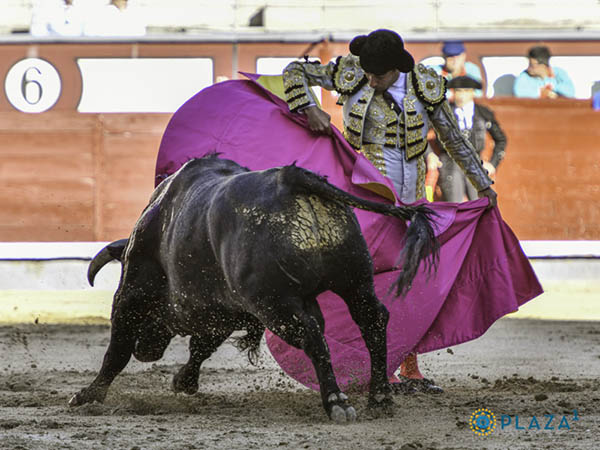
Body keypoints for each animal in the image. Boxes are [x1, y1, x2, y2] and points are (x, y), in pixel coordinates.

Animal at [70, 155, 438, 422]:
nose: (146, 351)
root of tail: (292, 178)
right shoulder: (226, 310)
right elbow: (202, 347)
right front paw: (184, 381)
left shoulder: (132, 294)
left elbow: (117, 350)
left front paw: (88, 395)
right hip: (355, 281)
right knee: (371, 321)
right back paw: (379, 397)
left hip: (276, 305)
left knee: (312, 336)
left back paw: (336, 402)